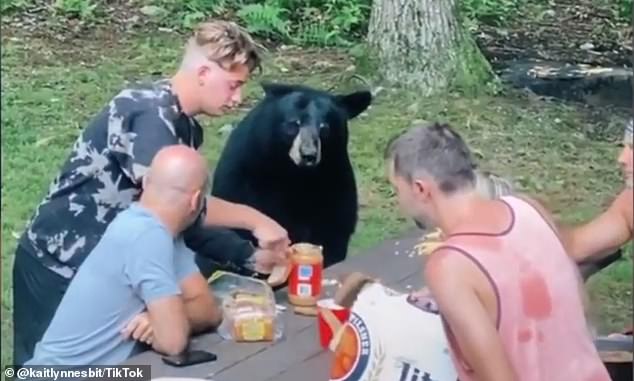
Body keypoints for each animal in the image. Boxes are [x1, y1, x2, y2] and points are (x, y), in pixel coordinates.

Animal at [183, 82, 370, 274]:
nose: (308, 155)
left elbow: (333, 230)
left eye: (325, 127)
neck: (296, 175)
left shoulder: (334, 179)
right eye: (293, 124)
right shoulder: (248, 174)